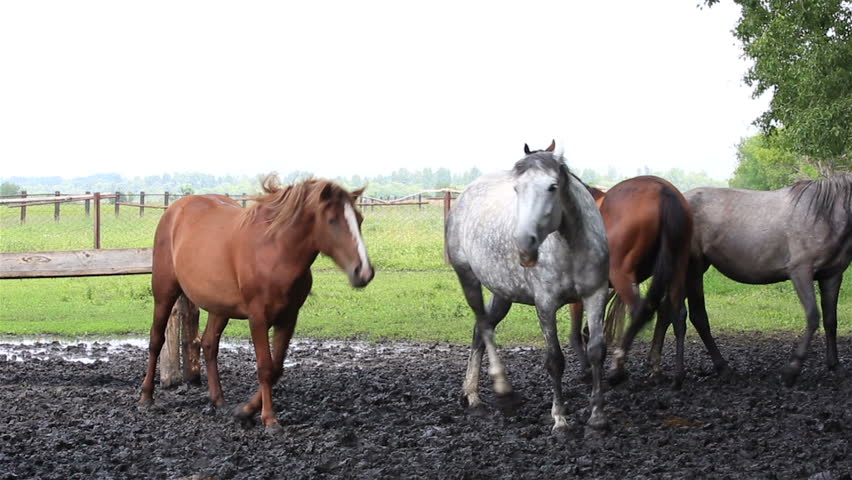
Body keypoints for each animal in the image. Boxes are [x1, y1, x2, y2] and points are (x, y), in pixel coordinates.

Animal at [138, 175, 375, 431]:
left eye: (360, 219)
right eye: (332, 220)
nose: (364, 272)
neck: (275, 251)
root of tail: (175, 209)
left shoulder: (289, 317)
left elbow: (277, 368)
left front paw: (244, 411)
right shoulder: (258, 318)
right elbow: (265, 367)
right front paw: (269, 419)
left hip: (219, 307)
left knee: (209, 344)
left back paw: (218, 401)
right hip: (164, 293)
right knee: (156, 340)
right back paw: (146, 397)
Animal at [445, 141, 611, 430]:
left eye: (552, 187)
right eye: (517, 188)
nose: (524, 245)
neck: (571, 247)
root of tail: (465, 195)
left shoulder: (596, 295)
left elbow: (596, 351)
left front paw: (597, 416)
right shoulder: (545, 304)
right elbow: (554, 360)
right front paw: (560, 421)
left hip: (502, 294)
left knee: (479, 331)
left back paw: (472, 397)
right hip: (468, 278)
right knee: (484, 327)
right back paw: (501, 389)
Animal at [568, 176, 715, 389]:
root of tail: (663, 190)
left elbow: (576, 330)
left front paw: (587, 370)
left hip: (621, 272)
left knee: (640, 311)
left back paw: (618, 368)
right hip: (678, 265)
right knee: (678, 315)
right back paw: (677, 375)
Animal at [658, 175, 852, 386]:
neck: (824, 214)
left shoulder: (832, 276)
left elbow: (830, 321)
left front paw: (836, 366)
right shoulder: (801, 272)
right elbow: (813, 317)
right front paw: (791, 371)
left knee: (671, 312)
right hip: (692, 269)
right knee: (694, 316)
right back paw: (696, 373)